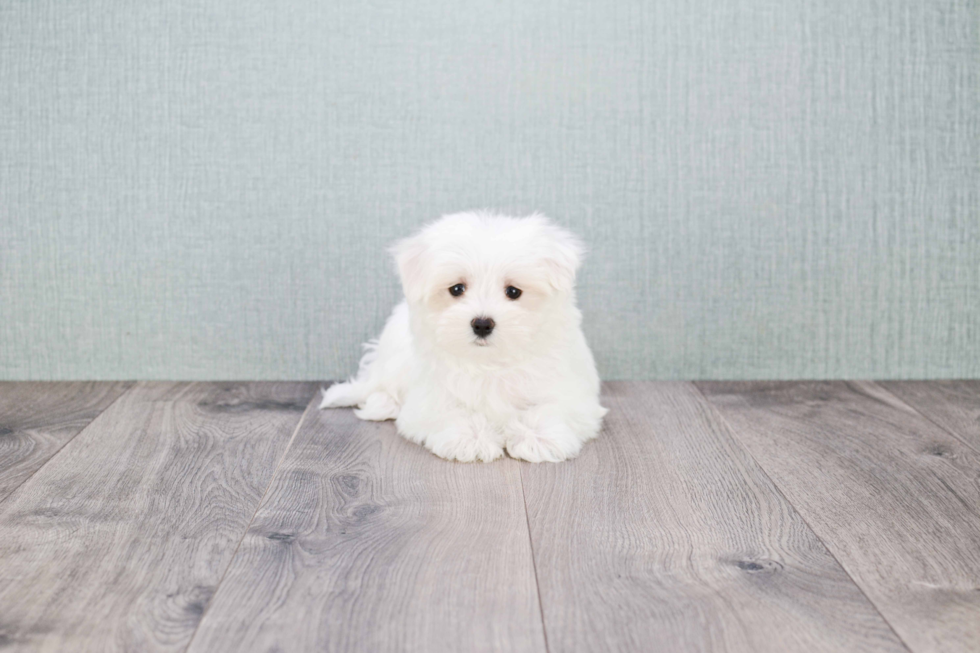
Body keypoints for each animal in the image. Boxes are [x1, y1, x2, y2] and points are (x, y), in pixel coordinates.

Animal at [322, 211, 604, 460]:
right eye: (456, 289)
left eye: (513, 291)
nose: (482, 324)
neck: (489, 363)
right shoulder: (431, 394)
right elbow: (451, 411)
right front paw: (471, 438)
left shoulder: (570, 389)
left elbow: (551, 407)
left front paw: (538, 437)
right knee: (380, 384)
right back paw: (383, 404)